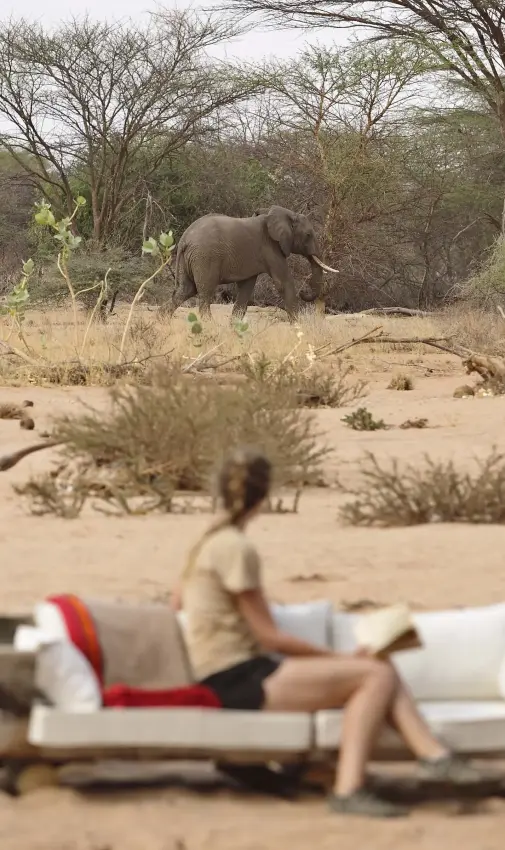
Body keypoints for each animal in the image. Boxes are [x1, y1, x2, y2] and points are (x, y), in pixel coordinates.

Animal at [164, 206, 338, 322]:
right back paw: (209, 326)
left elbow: (246, 289)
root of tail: (184, 239)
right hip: (205, 258)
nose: (304, 292)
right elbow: (284, 283)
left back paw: (161, 322)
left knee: (185, 290)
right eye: (308, 235)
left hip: (192, 258)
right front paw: (298, 328)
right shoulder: (270, 248)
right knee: (205, 293)